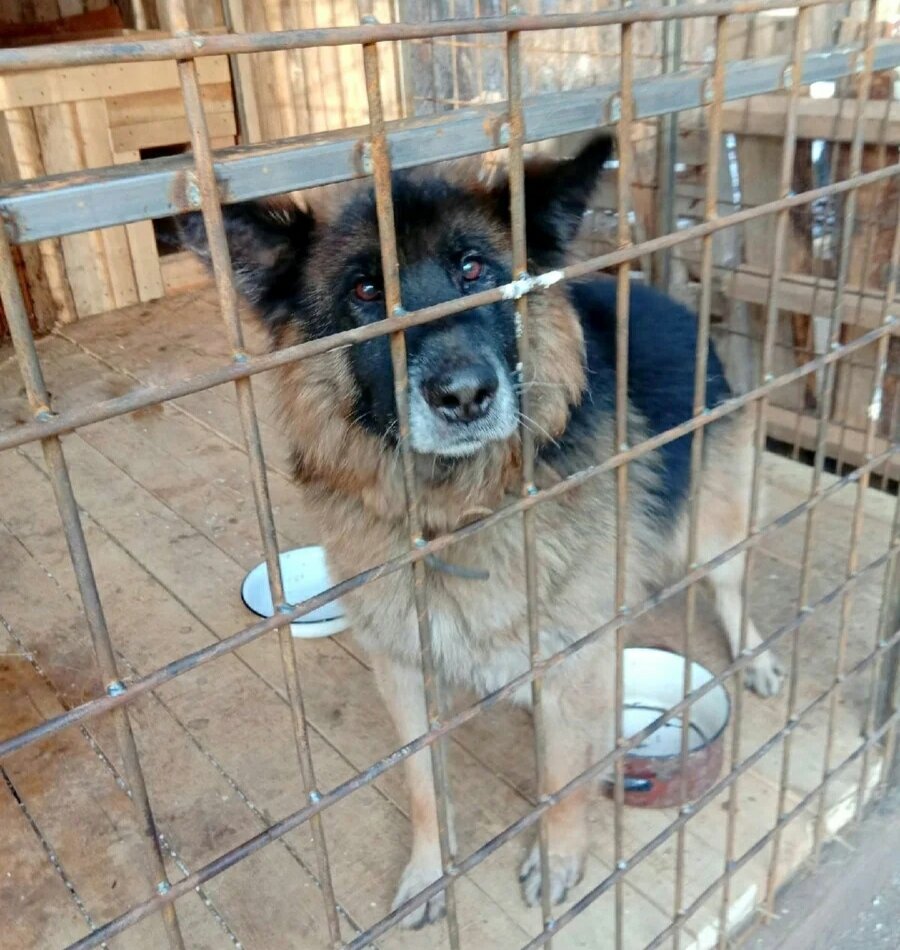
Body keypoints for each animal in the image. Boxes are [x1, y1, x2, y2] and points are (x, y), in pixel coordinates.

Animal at [181, 138, 780, 932]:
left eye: (474, 271)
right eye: (365, 292)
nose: (464, 395)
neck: (454, 514)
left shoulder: (575, 663)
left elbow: (563, 778)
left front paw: (558, 858)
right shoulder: (403, 674)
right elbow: (420, 785)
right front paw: (429, 871)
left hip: (712, 529)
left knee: (732, 584)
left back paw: (757, 656)